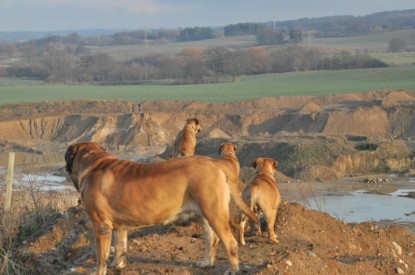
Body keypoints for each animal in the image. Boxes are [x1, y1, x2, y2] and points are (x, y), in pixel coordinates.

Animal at [65, 142, 258, 275]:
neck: (93, 162)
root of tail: (215, 164)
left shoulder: (101, 225)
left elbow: (101, 255)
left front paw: (99, 271)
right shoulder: (120, 227)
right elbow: (120, 246)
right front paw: (118, 265)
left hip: (215, 214)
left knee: (230, 242)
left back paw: (233, 269)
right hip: (203, 215)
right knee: (212, 239)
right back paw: (206, 263)